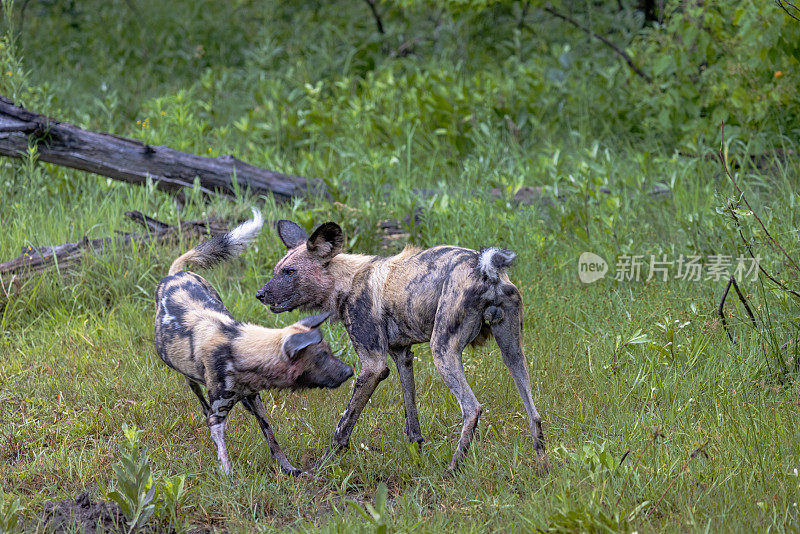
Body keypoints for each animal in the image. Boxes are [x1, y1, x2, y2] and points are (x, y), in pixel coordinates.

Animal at [155, 209, 354, 478]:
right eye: (321, 357)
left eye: (330, 352)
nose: (350, 371)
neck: (238, 348)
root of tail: (175, 274)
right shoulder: (219, 417)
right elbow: (223, 453)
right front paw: (229, 480)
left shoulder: (255, 399)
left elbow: (272, 439)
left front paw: (288, 469)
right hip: (188, 377)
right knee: (200, 400)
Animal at [255, 221, 544, 474]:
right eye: (276, 270)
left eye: (289, 272)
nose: (259, 294)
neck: (345, 282)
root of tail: (485, 269)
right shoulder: (402, 355)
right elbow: (411, 417)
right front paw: (417, 452)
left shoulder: (373, 366)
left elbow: (344, 424)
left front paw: (324, 464)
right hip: (513, 352)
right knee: (534, 413)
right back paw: (543, 467)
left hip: (442, 351)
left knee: (472, 408)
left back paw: (453, 469)